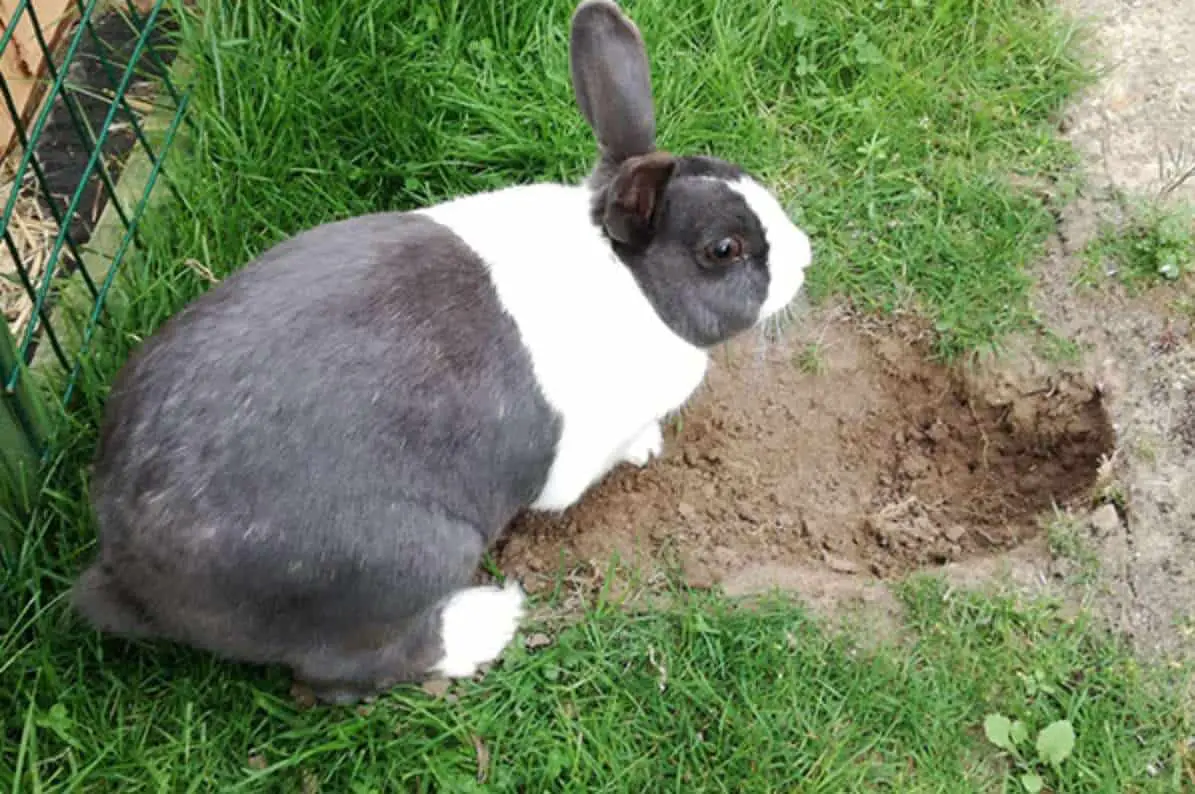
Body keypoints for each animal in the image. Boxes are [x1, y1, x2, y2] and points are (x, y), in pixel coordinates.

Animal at [69, 0, 817, 707]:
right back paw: (488, 622)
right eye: (723, 250)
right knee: (347, 669)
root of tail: (127, 571)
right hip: (416, 556)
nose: (806, 255)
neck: (632, 282)